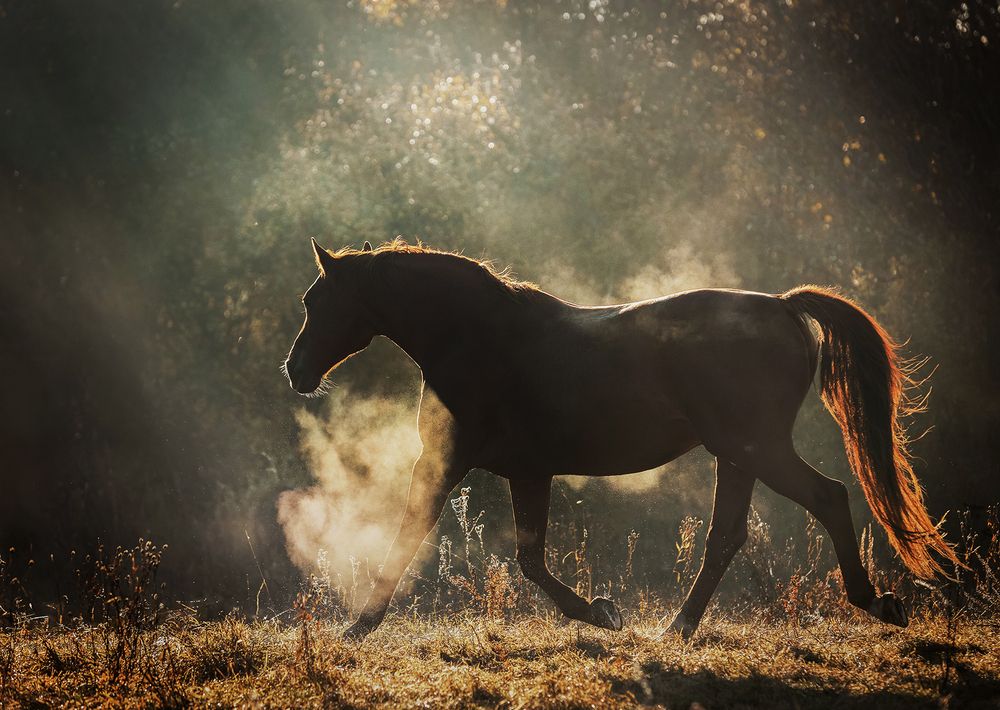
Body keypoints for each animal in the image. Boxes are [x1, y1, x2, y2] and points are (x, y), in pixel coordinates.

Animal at [282, 238, 959, 640]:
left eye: (317, 301)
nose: (296, 370)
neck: (475, 336)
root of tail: (783, 307)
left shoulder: (447, 462)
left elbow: (412, 534)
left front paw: (359, 626)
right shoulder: (528, 471)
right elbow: (530, 558)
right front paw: (602, 612)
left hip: (757, 449)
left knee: (827, 498)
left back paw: (874, 602)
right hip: (737, 455)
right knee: (727, 537)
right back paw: (678, 629)